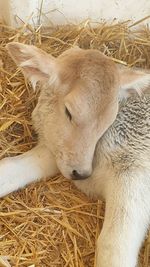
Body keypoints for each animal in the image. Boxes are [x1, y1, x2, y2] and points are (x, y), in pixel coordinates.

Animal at [0, 43, 150, 266]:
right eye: (69, 112)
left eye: (109, 119)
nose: (81, 173)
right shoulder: (57, 153)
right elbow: (9, 168)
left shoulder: (134, 172)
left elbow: (113, 247)